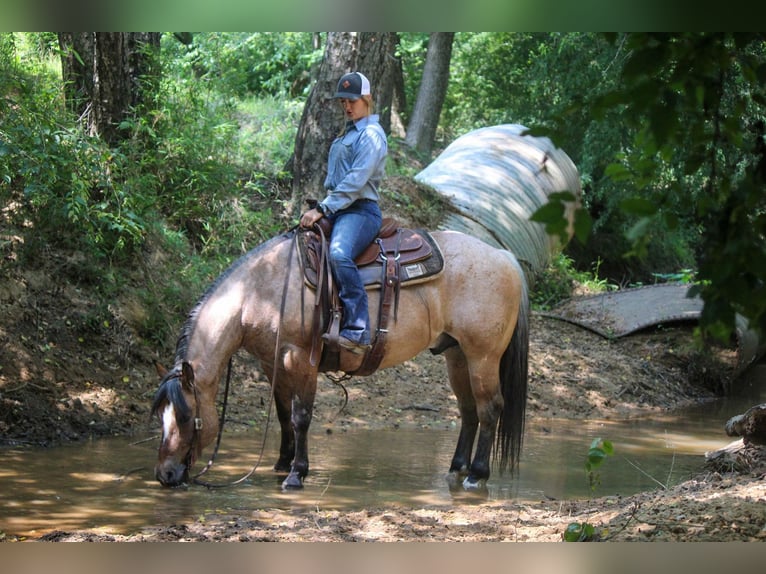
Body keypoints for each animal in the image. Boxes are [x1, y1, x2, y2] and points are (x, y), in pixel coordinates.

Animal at [153, 225, 532, 490]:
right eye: (161, 416)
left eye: (185, 417)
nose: (165, 475)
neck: (261, 291)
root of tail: (504, 256)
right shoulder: (272, 364)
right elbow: (282, 414)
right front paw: (282, 462)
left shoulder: (300, 359)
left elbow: (301, 416)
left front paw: (296, 473)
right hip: (457, 355)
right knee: (468, 411)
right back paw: (455, 469)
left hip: (483, 355)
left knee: (490, 408)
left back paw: (476, 475)